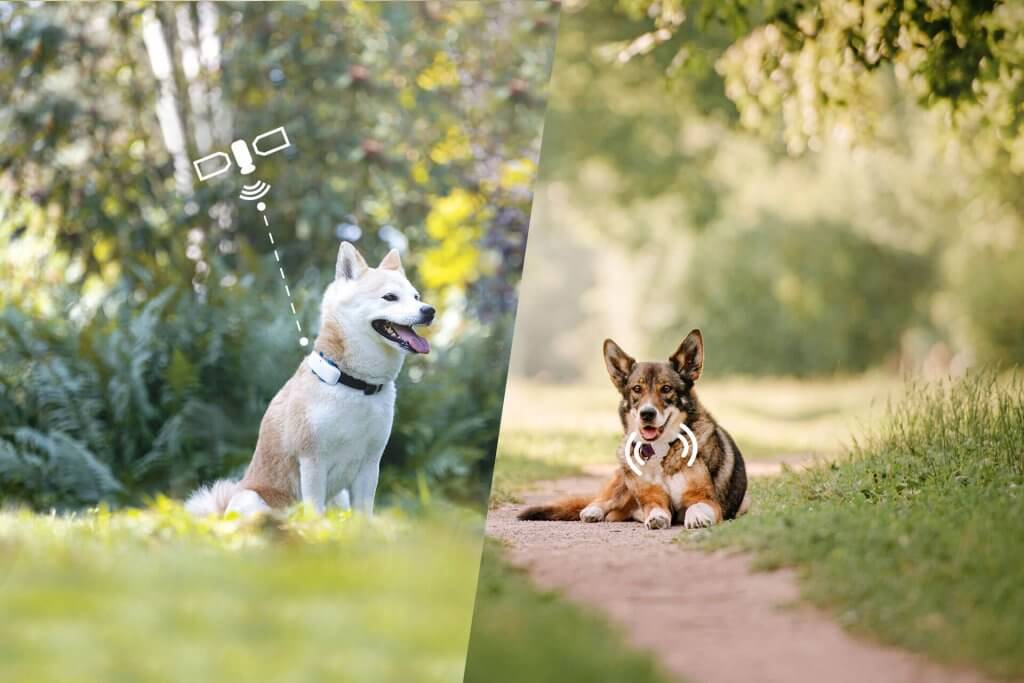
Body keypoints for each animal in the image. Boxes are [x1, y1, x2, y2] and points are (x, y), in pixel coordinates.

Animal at [186, 242, 434, 516]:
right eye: (390, 297)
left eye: (416, 297)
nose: (429, 311)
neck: (354, 383)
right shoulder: (312, 461)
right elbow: (315, 511)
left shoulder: (370, 464)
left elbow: (364, 514)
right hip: (252, 499)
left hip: (340, 499)